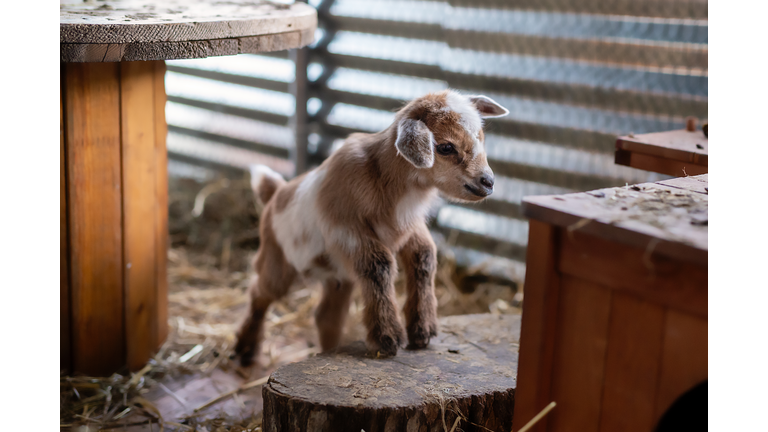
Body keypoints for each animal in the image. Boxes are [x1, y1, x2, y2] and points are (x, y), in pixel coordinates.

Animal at [237, 90, 508, 364]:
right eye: (445, 147)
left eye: (481, 137)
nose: (487, 182)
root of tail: (276, 192)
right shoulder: (347, 231)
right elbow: (379, 266)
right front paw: (387, 339)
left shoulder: (409, 227)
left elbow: (424, 256)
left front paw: (423, 331)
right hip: (277, 259)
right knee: (259, 293)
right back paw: (245, 349)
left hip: (338, 276)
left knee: (326, 316)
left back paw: (327, 350)